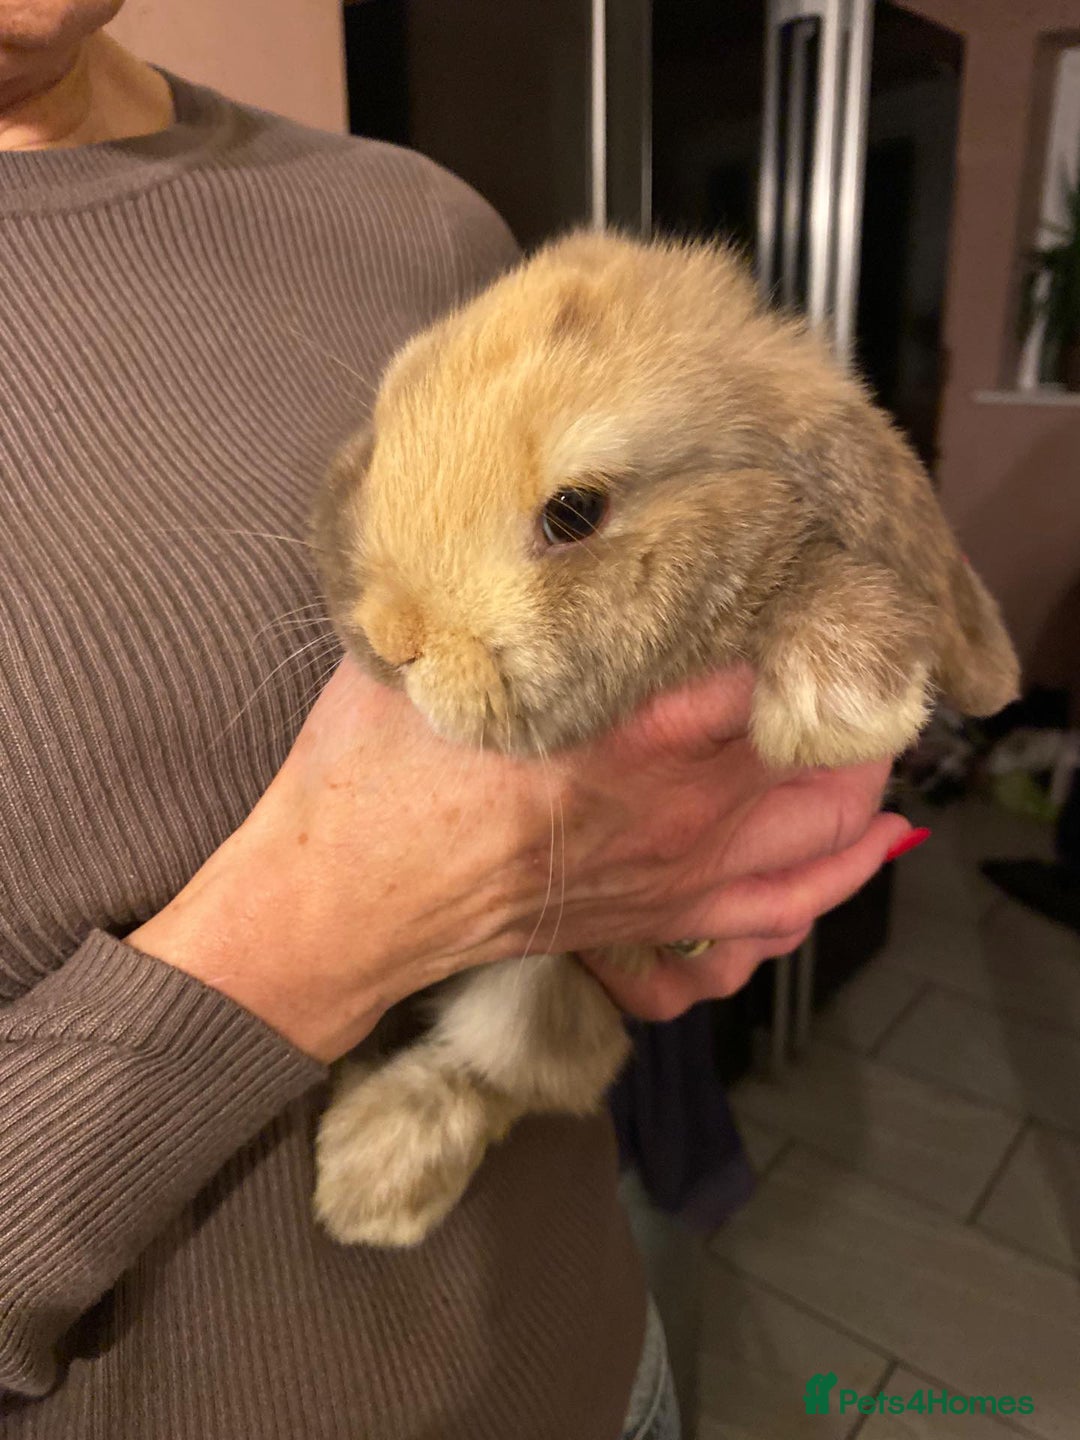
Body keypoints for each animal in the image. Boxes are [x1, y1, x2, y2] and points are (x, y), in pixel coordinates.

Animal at [309, 229, 1019, 1247]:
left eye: (574, 513)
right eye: (382, 450)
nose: (396, 637)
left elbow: (800, 576)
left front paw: (844, 692)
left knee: (510, 1071)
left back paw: (369, 1180)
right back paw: (368, 1181)